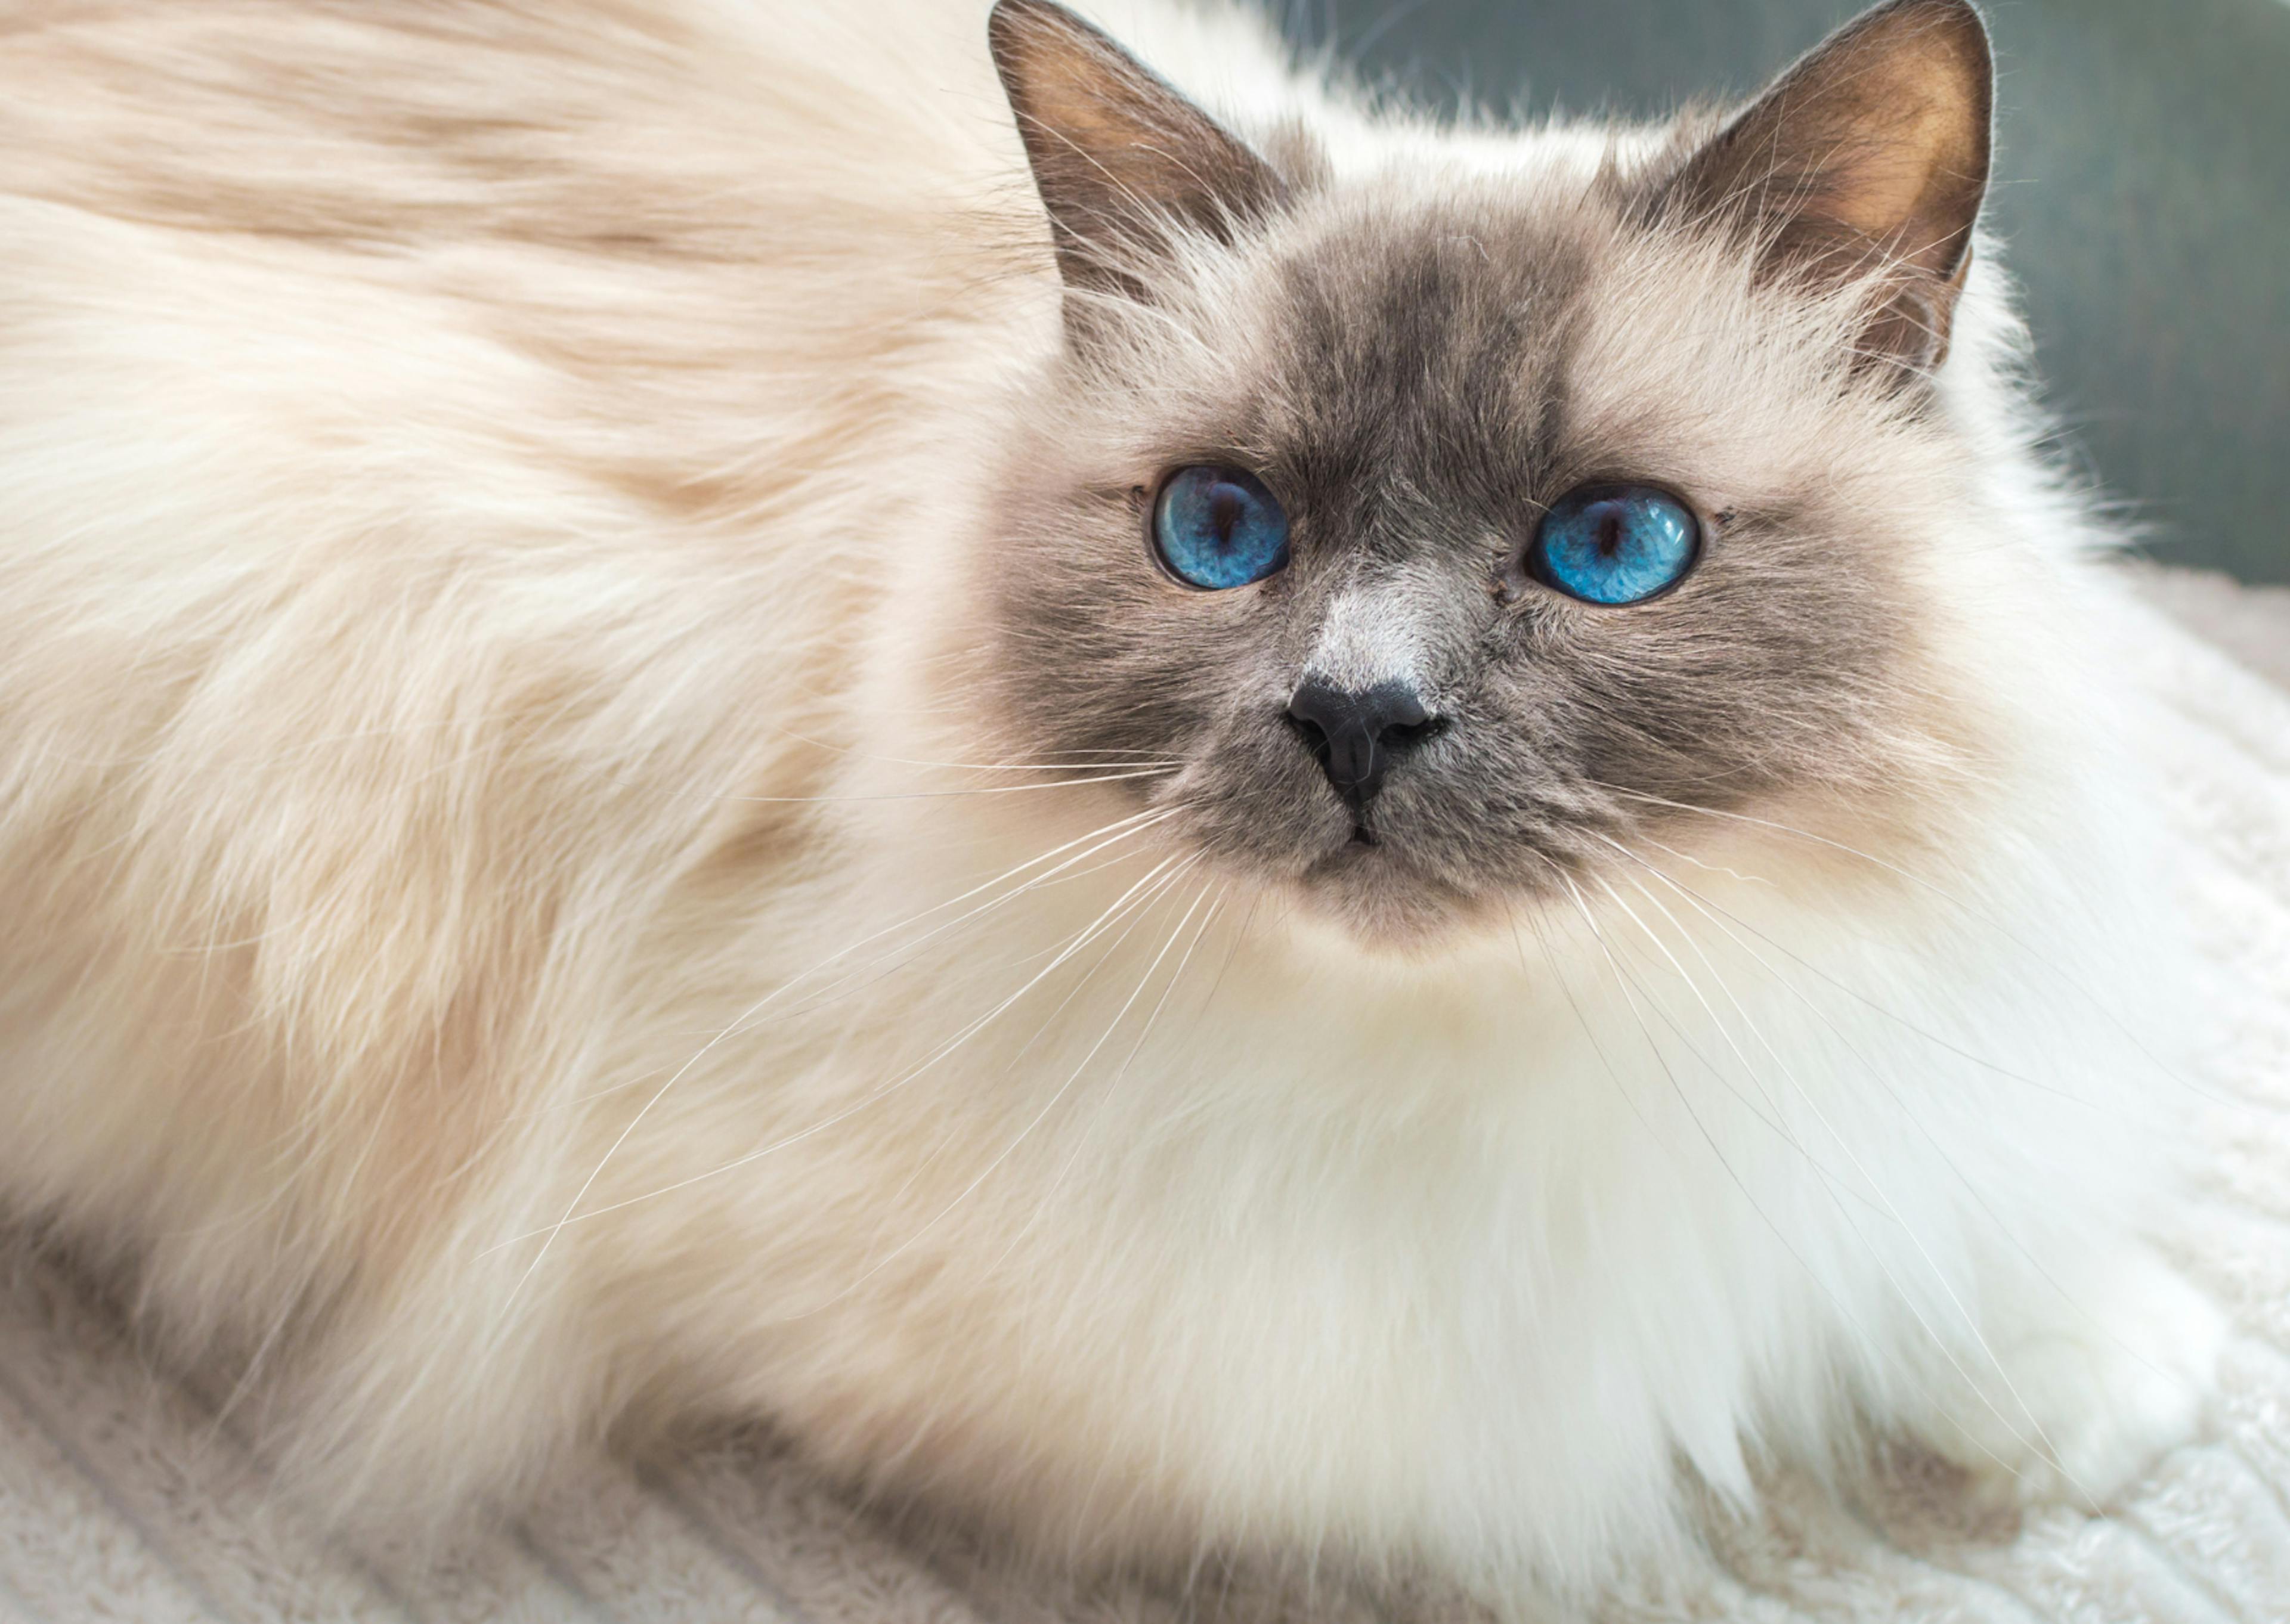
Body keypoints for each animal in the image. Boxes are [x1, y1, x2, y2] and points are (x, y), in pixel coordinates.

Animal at [0, 0, 2235, 1603]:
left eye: (1609, 548)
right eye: (1219, 532)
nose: (1358, 718)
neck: (1500, 1047)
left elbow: (1891, 1244)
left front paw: (2095, 1387)